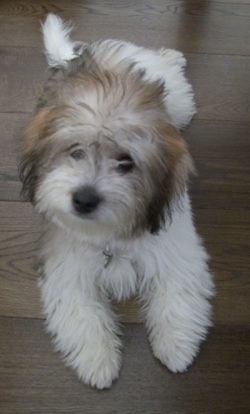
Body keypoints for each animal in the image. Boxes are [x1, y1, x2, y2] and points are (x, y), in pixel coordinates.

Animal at [19, 13, 215, 388]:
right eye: (75, 152)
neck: (113, 235)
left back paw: (172, 56)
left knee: (172, 78)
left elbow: (177, 294)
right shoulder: (67, 262)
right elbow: (80, 311)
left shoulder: (176, 248)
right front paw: (98, 360)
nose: (83, 199)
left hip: (174, 97)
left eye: (126, 163)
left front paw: (177, 347)